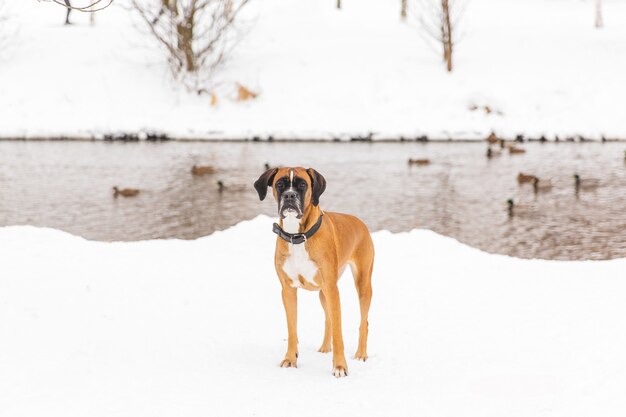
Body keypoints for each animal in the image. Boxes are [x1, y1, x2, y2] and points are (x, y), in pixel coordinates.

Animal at [252, 167, 372, 376]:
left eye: (302, 184)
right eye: (280, 184)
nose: (289, 195)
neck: (298, 235)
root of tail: (359, 221)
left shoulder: (333, 290)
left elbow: (339, 333)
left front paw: (340, 366)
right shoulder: (288, 291)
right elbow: (292, 329)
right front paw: (290, 359)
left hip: (362, 285)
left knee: (363, 322)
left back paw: (361, 354)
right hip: (323, 293)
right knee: (328, 319)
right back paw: (324, 348)